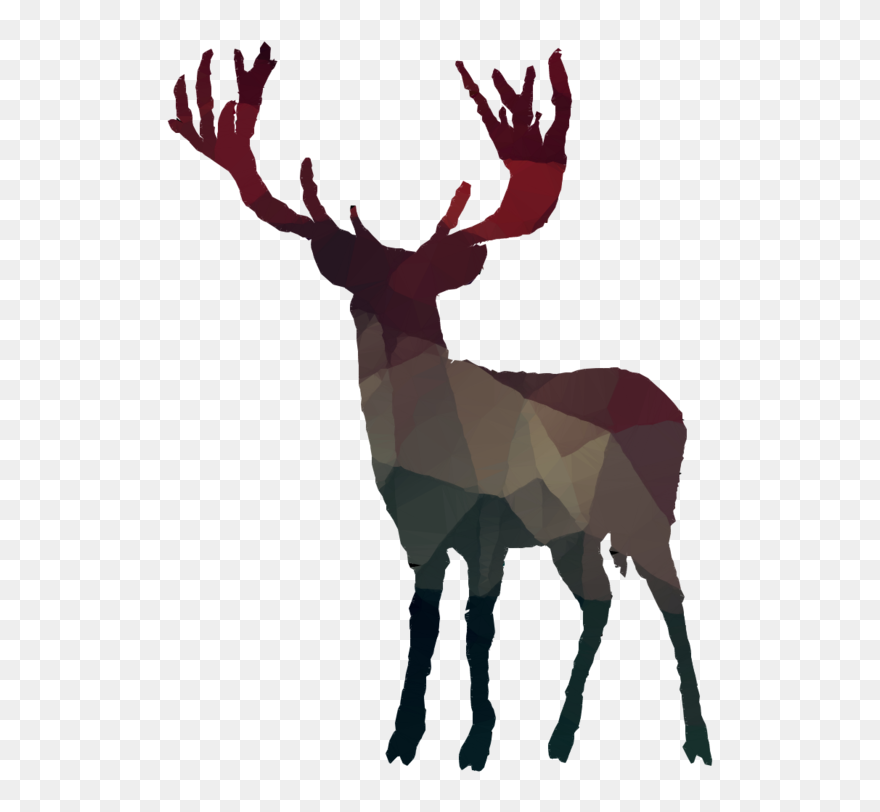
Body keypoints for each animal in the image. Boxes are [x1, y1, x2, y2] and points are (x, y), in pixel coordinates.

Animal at [168, 43, 713, 771]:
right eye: (364, 289)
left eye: (425, 288)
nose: (393, 337)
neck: (438, 450)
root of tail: (673, 409)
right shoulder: (417, 528)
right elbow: (422, 620)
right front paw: (404, 736)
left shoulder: (490, 520)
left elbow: (479, 625)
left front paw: (476, 743)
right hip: (573, 531)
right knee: (599, 601)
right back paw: (562, 736)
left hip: (647, 513)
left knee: (671, 598)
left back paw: (694, 739)